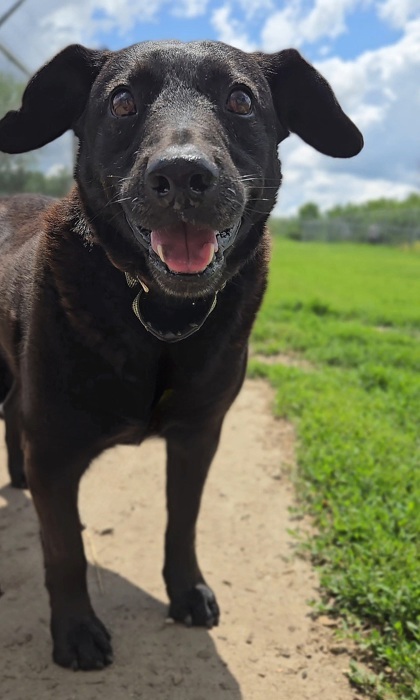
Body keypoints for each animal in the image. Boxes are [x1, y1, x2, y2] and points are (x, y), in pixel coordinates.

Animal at [0, 39, 360, 672]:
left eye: (241, 98)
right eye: (122, 100)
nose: (182, 175)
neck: (159, 316)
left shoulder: (199, 435)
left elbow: (182, 521)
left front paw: (187, 590)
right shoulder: (57, 452)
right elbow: (65, 549)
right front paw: (75, 630)